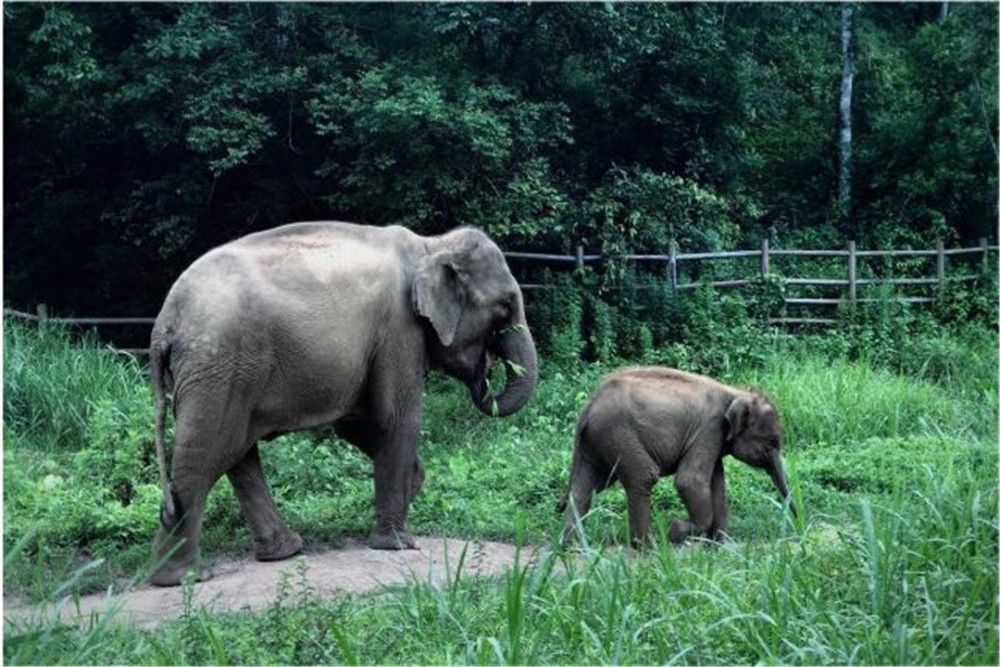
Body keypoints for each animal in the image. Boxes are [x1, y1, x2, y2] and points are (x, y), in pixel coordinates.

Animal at [147, 223, 536, 584]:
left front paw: (411, 486)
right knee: (206, 458)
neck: (432, 244)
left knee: (238, 453)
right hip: (220, 366)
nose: (486, 371)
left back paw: (280, 552)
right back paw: (182, 578)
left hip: (219, 373)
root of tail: (165, 322)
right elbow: (397, 418)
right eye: (504, 305)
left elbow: (355, 423)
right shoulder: (399, 329)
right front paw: (398, 544)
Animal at [564, 366, 788, 548]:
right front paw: (674, 532)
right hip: (617, 433)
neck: (736, 392)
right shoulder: (710, 428)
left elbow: (716, 485)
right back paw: (648, 548)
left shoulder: (713, 439)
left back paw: (573, 547)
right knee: (643, 477)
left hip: (597, 440)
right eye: (772, 442)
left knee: (583, 488)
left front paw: (717, 546)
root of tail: (589, 404)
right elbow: (690, 481)